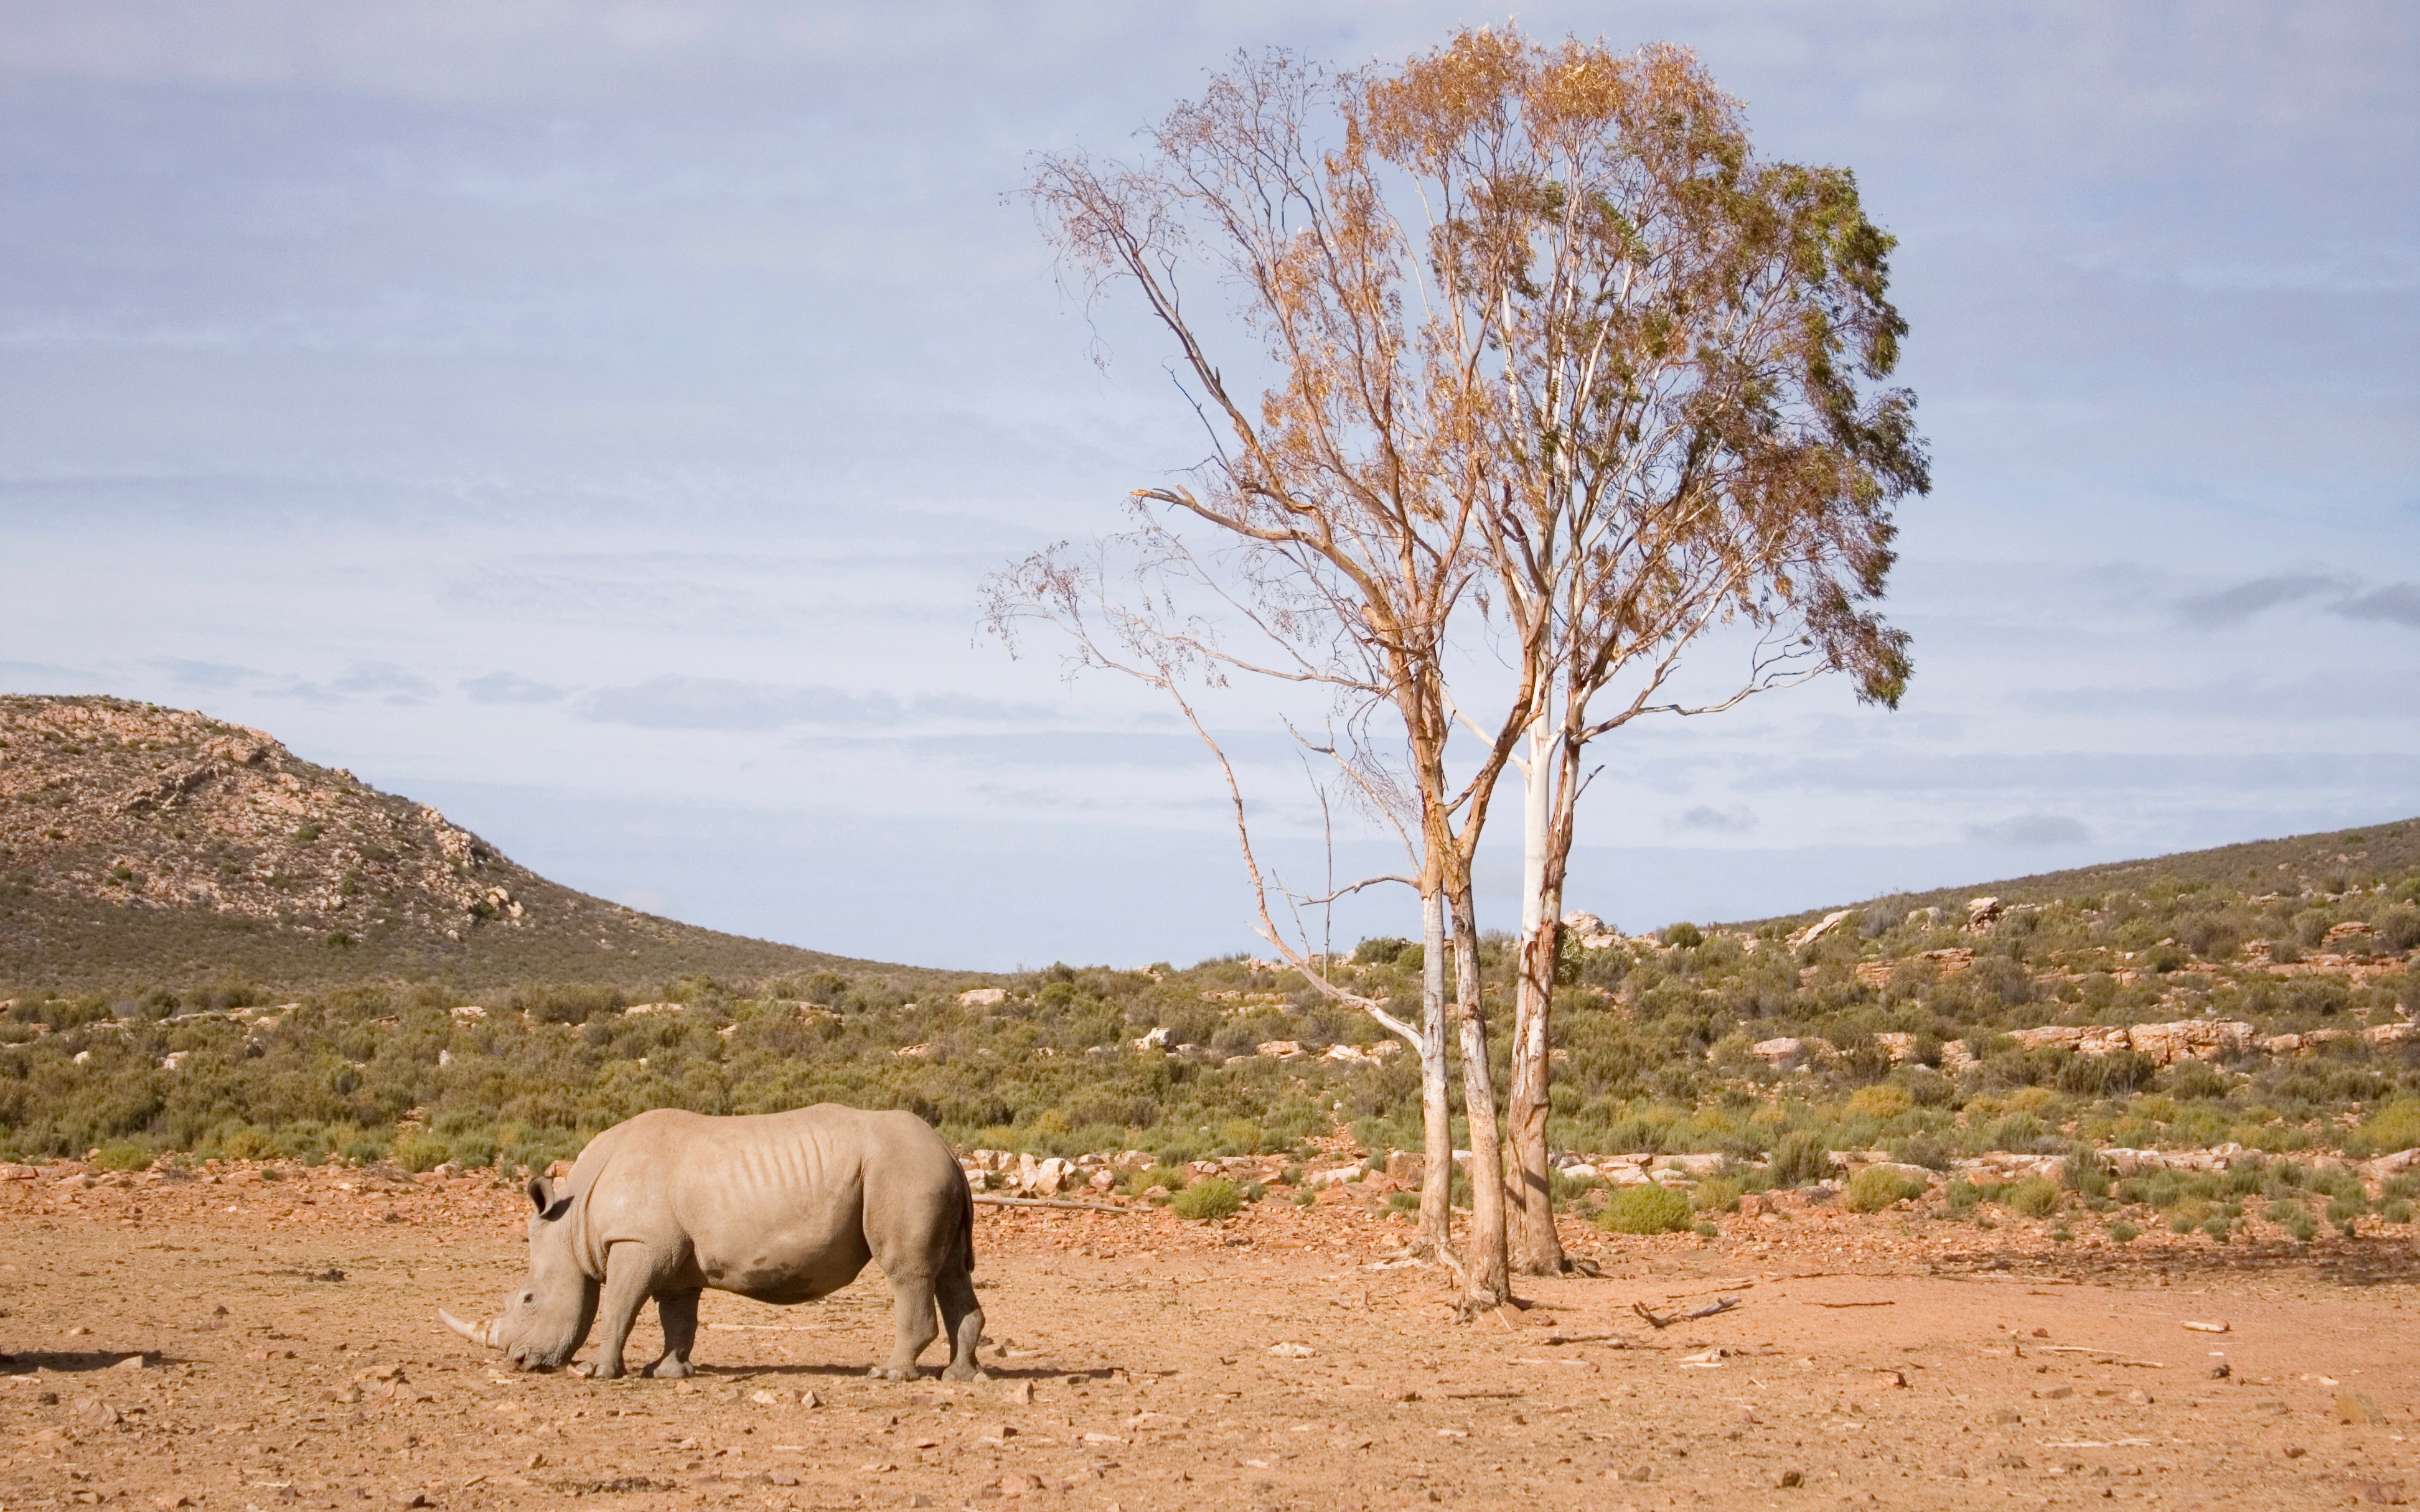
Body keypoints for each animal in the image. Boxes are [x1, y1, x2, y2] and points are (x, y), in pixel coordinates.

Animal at [438, 1105, 982, 1382]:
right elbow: (678, 1317)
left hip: (903, 1171)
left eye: (529, 1300)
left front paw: (599, 1371)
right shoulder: (671, 1257)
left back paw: (888, 1375)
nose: (518, 1362)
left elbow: (618, 1308)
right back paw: (960, 1376)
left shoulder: (636, 1242)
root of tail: (947, 1150)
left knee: (907, 1272)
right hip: (925, 1172)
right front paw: (668, 1372)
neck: (572, 1225)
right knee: (951, 1271)